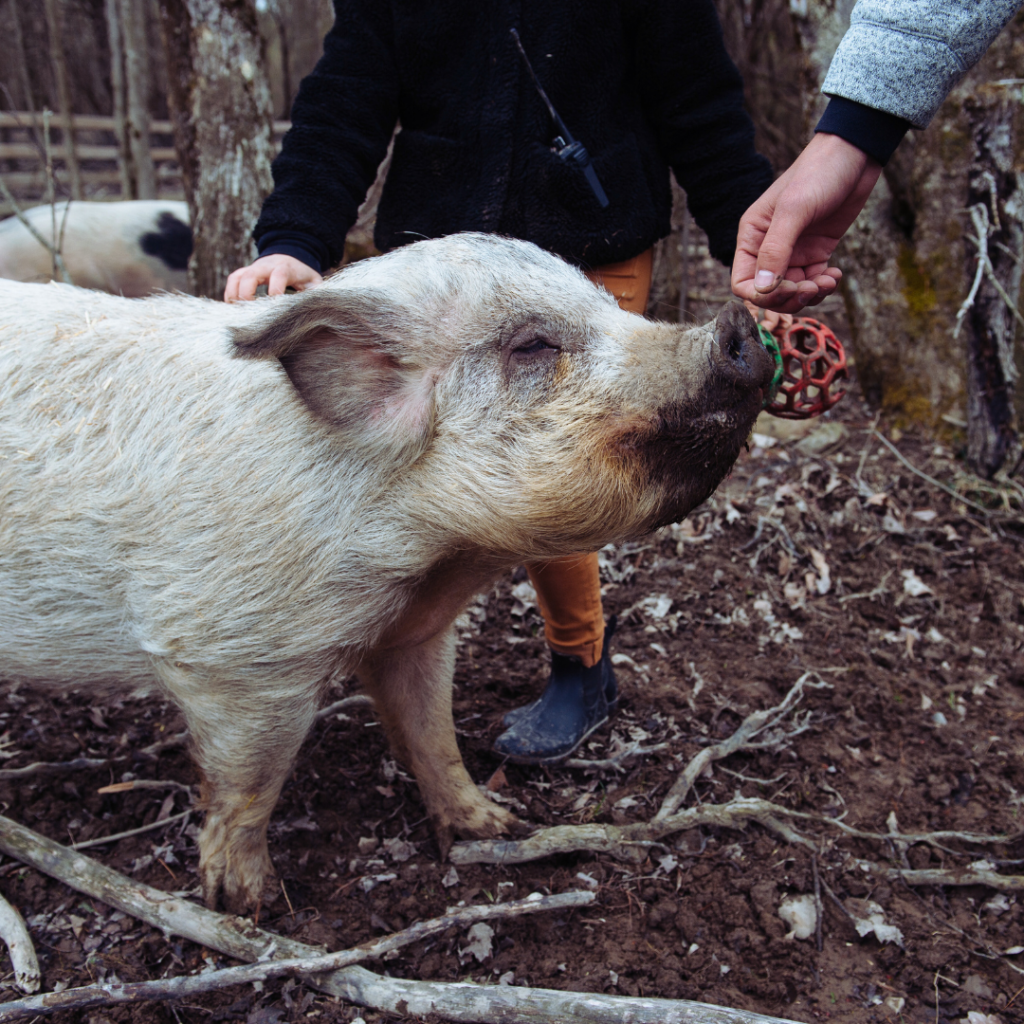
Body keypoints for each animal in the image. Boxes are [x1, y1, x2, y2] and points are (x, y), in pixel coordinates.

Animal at [0, 232, 770, 913]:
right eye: (532, 345)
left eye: (611, 304)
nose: (737, 321)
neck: (432, 557)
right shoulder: (233, 655)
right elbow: (248, 784)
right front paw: (252, 907)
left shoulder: (416, 631)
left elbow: (434, 733)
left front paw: (499, 827)